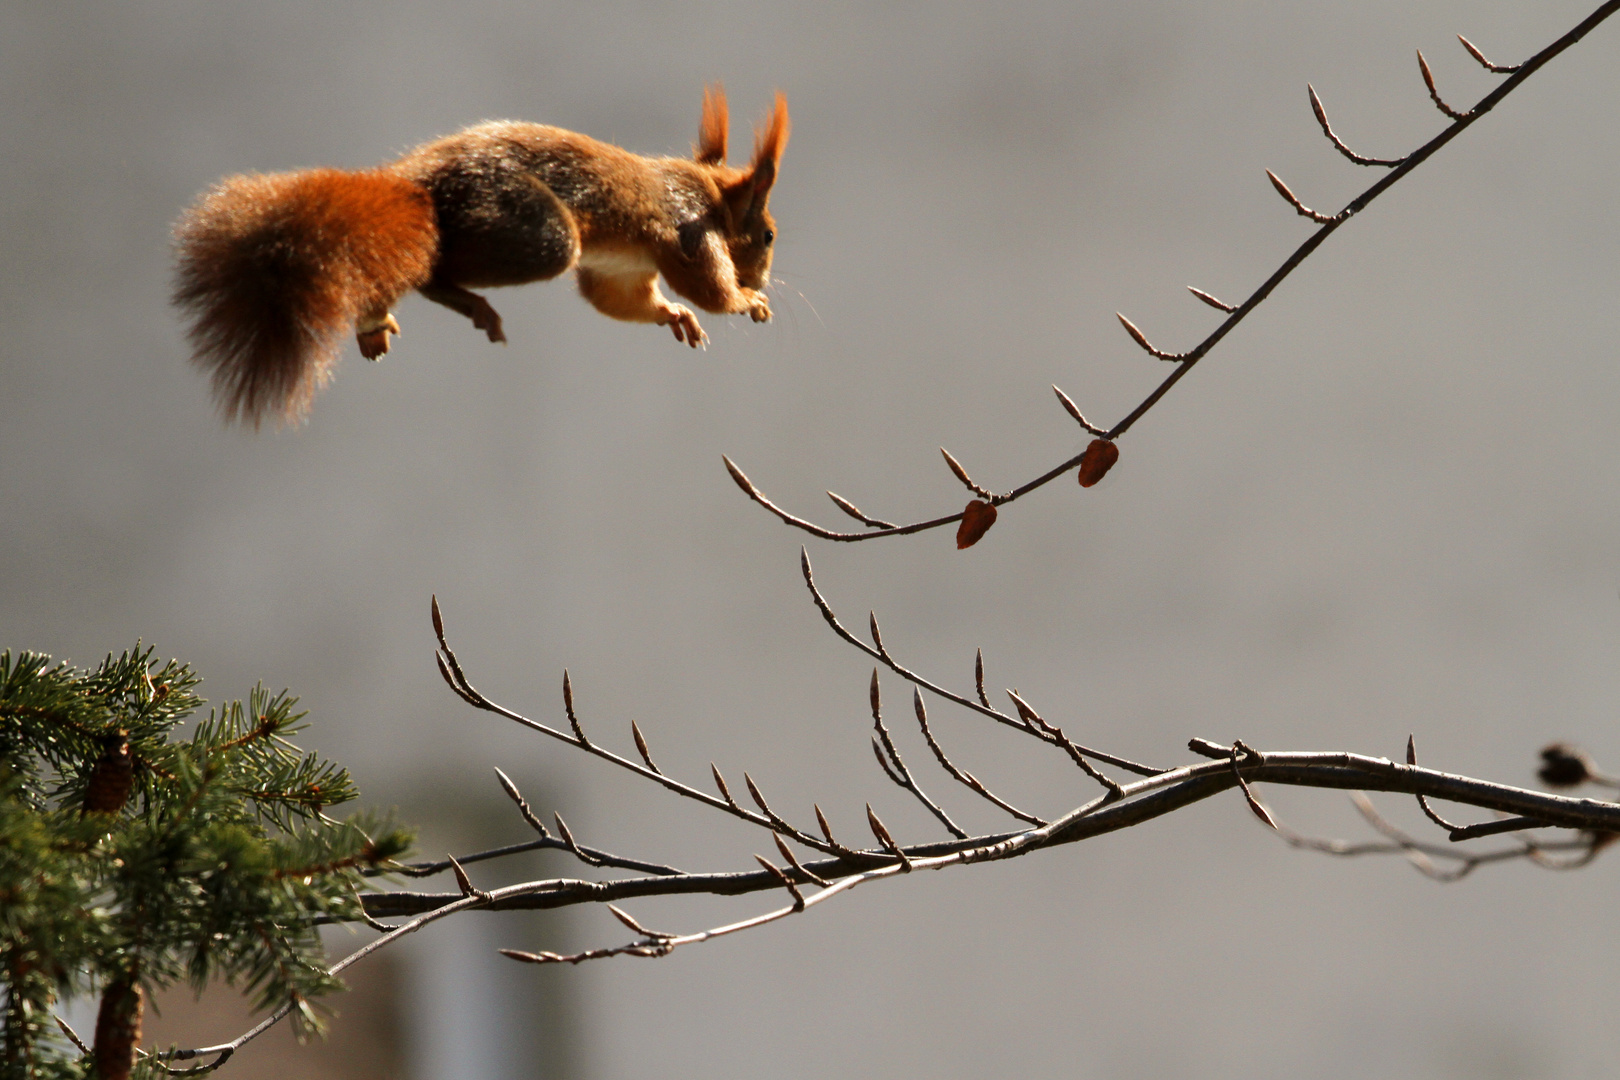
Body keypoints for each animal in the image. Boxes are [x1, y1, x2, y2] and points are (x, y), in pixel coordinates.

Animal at [172, 85, 790, 427]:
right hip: (535, 235)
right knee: (434, 270)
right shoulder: (687, 231)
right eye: (768, 236)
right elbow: (707, 289)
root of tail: (417, 186)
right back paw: (465, 303)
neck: (707, 194)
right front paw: (746, 300)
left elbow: (619, 299)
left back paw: (375, 319)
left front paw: (672, 315)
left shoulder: (622, 267)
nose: (762, 277)